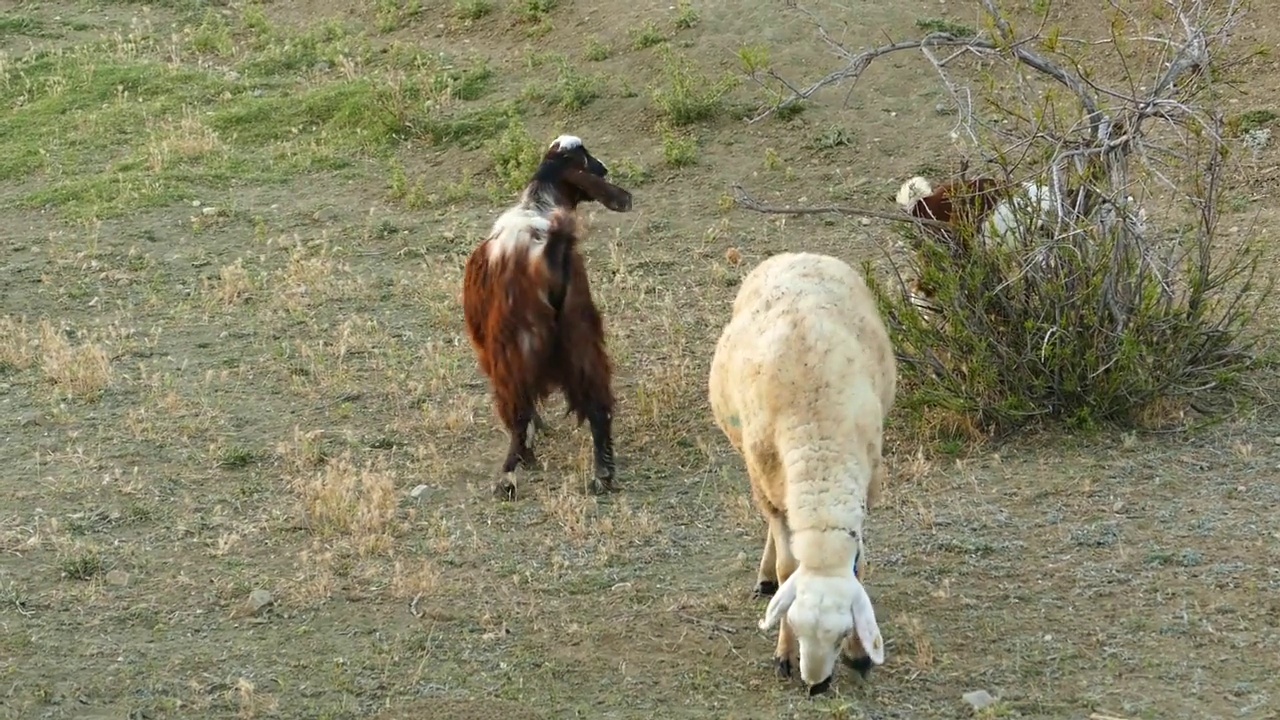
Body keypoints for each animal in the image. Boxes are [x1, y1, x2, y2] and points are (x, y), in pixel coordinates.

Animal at [465, 137, 634, 502]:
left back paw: (508, 477)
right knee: (598, 405)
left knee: (518, 412)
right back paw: (603, 475)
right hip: (581, 334)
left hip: (518, 345)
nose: (604, 169)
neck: (537, 205)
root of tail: (552, 244)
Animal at [706, 251, 896, 691]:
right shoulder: (770, 489)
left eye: (843, 633)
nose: (816, 686)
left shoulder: (867, 485)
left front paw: (859, 657)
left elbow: (858, 567)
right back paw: (764, 577)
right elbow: (788, 566)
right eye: (793, 622)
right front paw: (783, 652)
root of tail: (798, 254)